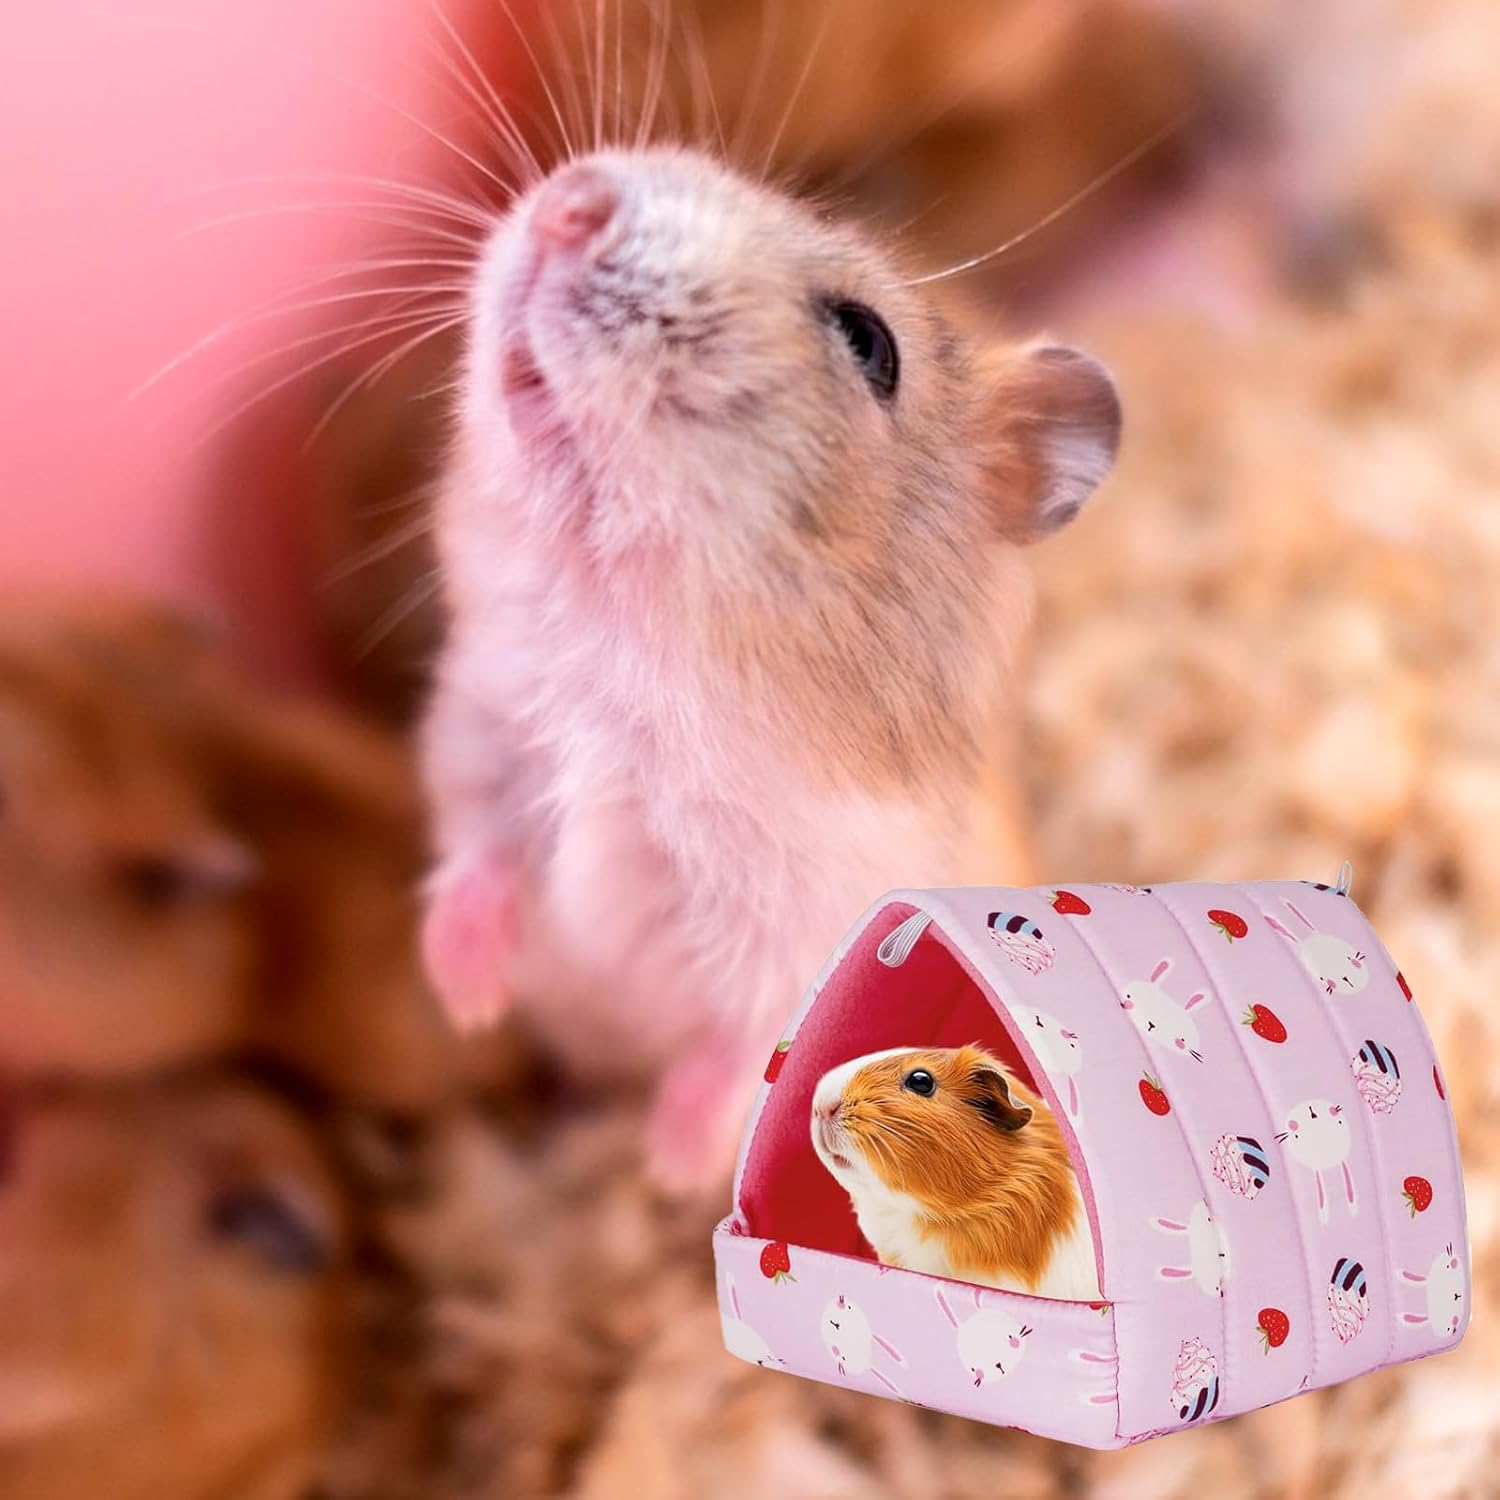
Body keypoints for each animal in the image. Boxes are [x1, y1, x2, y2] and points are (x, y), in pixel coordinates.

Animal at [421, 144, 1121, 1188]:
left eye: (869, 341)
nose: (571, 201)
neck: (624, 662)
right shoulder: (479, 741)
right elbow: (478, 860)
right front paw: (465, 998)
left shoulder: (810, 921)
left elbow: (752, 1046)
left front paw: (667, 1164)